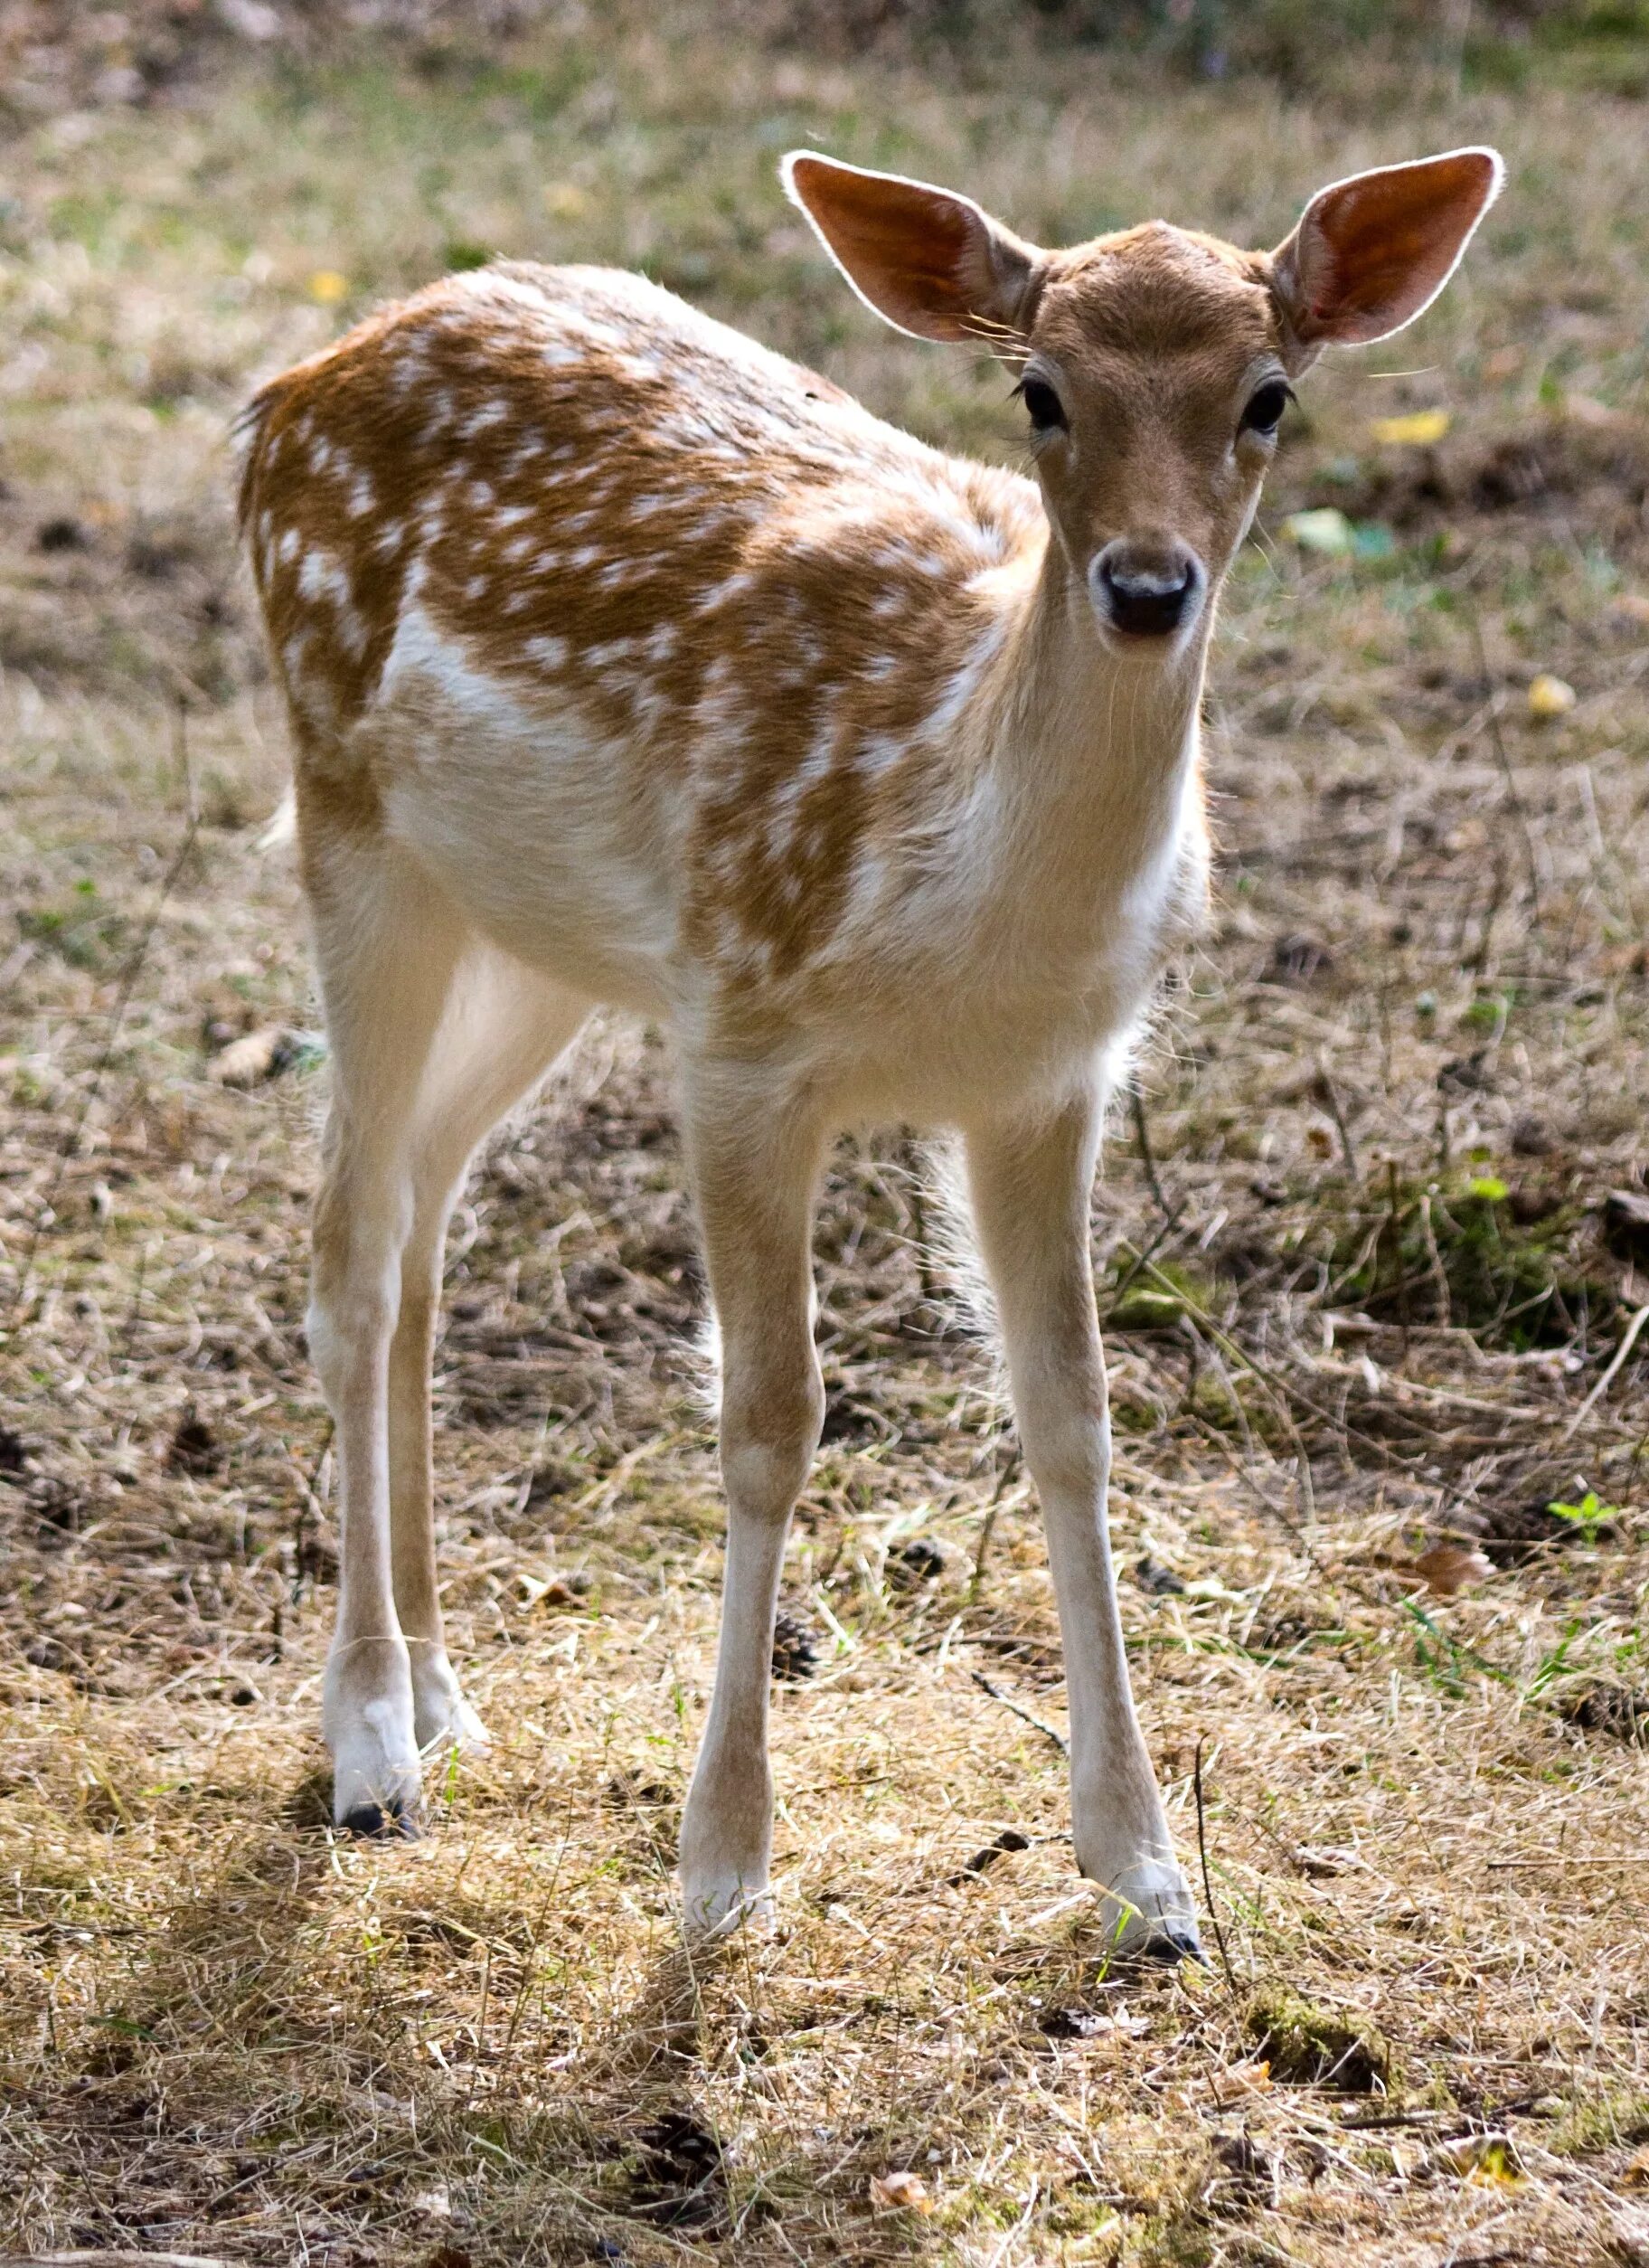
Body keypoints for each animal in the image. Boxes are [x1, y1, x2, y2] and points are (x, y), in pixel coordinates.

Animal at [238, 141, 1505, 1959]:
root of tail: (293, 386)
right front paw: (717, 1871)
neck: (956, 887)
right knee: (347, 1241)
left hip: (539, 940)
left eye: (1268, 395)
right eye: (1038, 390)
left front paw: (1146, 1872)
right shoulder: (739, 1030)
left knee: (417, 1224)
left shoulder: (1051, 1077)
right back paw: (367, 1747)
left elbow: (1071, 1411)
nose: (1144, 588)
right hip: (346, 812)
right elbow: (770, 1418)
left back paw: (442, 1693)